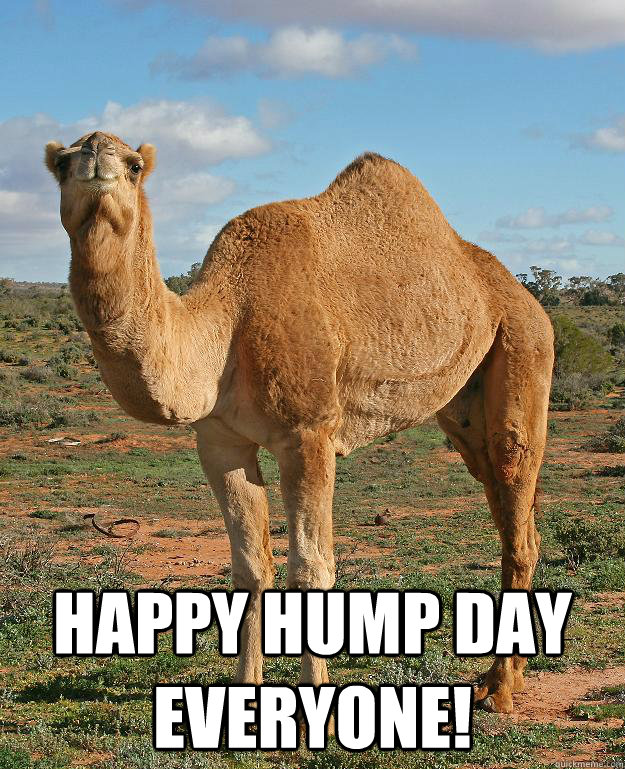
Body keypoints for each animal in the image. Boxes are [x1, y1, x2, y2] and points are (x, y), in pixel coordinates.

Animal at [45, 131, 554, 714]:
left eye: (133, 165)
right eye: (62, 162)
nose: (96, 154)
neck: (227, 324)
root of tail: (523, 295)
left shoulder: (308, 434)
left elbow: (311, 569)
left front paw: (318, 712)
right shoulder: (219, 441)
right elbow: (249, 568)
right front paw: (243, 701)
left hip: (523, 345)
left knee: (516, 494)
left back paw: (500, 687)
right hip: (465, 404)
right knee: (503, 500)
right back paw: (505, 677)